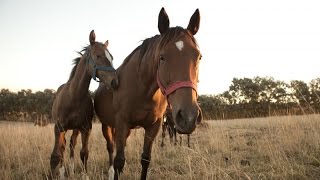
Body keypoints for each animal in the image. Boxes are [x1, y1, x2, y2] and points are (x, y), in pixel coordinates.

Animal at [50, 30, 119, 178]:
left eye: (111, 57)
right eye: (98, 55)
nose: (115, 81)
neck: (74, 96)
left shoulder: (85, 128)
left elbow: (84, 153)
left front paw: (84, 175)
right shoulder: (58, 128)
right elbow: (57, 154)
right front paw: (59, 174)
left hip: (75, 129)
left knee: (71, 144)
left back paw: (70, 169)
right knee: (64, 147)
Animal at [94, 7, 202, 180]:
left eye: (199, 57)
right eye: (162, 57)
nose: (188, 117)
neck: (142, 90)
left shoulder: (154, 126)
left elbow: (145, 159)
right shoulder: (122, 123)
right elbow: (119, 162)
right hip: (108, 126)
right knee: (111, 149)